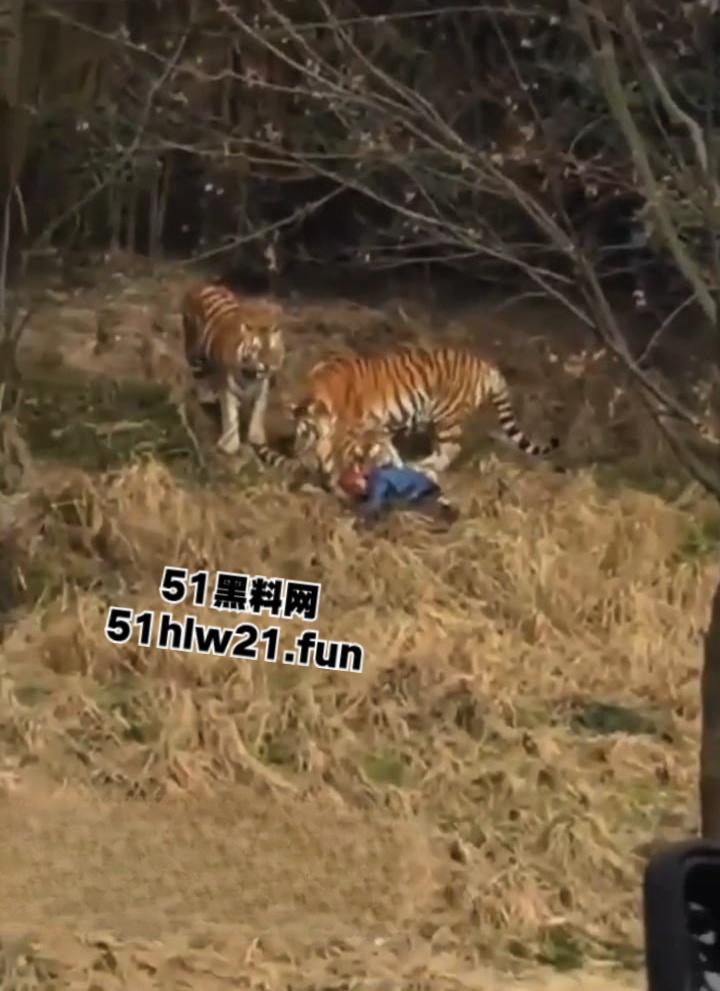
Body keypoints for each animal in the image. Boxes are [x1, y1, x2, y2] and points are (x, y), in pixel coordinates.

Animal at [181, 282, 286, 456]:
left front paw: (256, 437)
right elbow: (230, 416)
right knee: (199, 374)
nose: (270, 366)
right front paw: (229, 445)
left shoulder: (262, 389)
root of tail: (201, 285)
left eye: (274, 351)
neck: (251, 374)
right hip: (193, 349)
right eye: (258, 351)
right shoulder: (227, 390)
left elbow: (259, 411)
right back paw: (206, 397)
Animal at [287, 343, 560, 493]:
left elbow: (333, 452)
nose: (295, 450)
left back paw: (422, 465)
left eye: (303, 431)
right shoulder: (377, 427)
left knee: (449, 451)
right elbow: (387, 447)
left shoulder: (346, 428)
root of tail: (487, 366)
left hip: (448, 417)